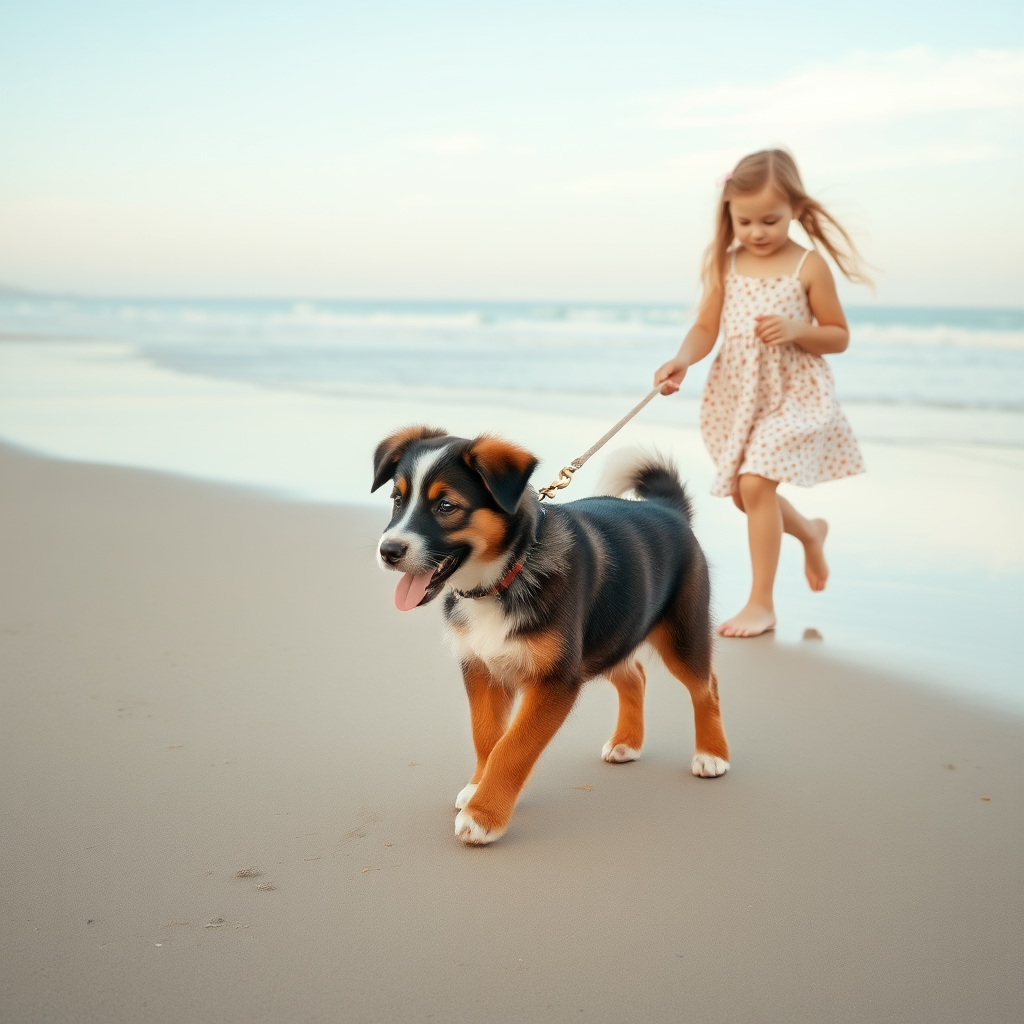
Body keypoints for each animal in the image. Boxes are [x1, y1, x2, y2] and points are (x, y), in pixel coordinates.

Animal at [370, 425, 729, 847]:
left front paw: (484, 815)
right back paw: (627, 741)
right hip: (610, 634)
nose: (388, 551)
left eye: (446, 506)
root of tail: (668, 509)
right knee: (634, 676)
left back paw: (712, 755)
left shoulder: (556, 679)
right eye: (397, 500)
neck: (504, 577)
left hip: (681, 635)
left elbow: (513, 747)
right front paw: (478, 789)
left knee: (706, 686)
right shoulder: (481, 668)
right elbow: (486, 736)